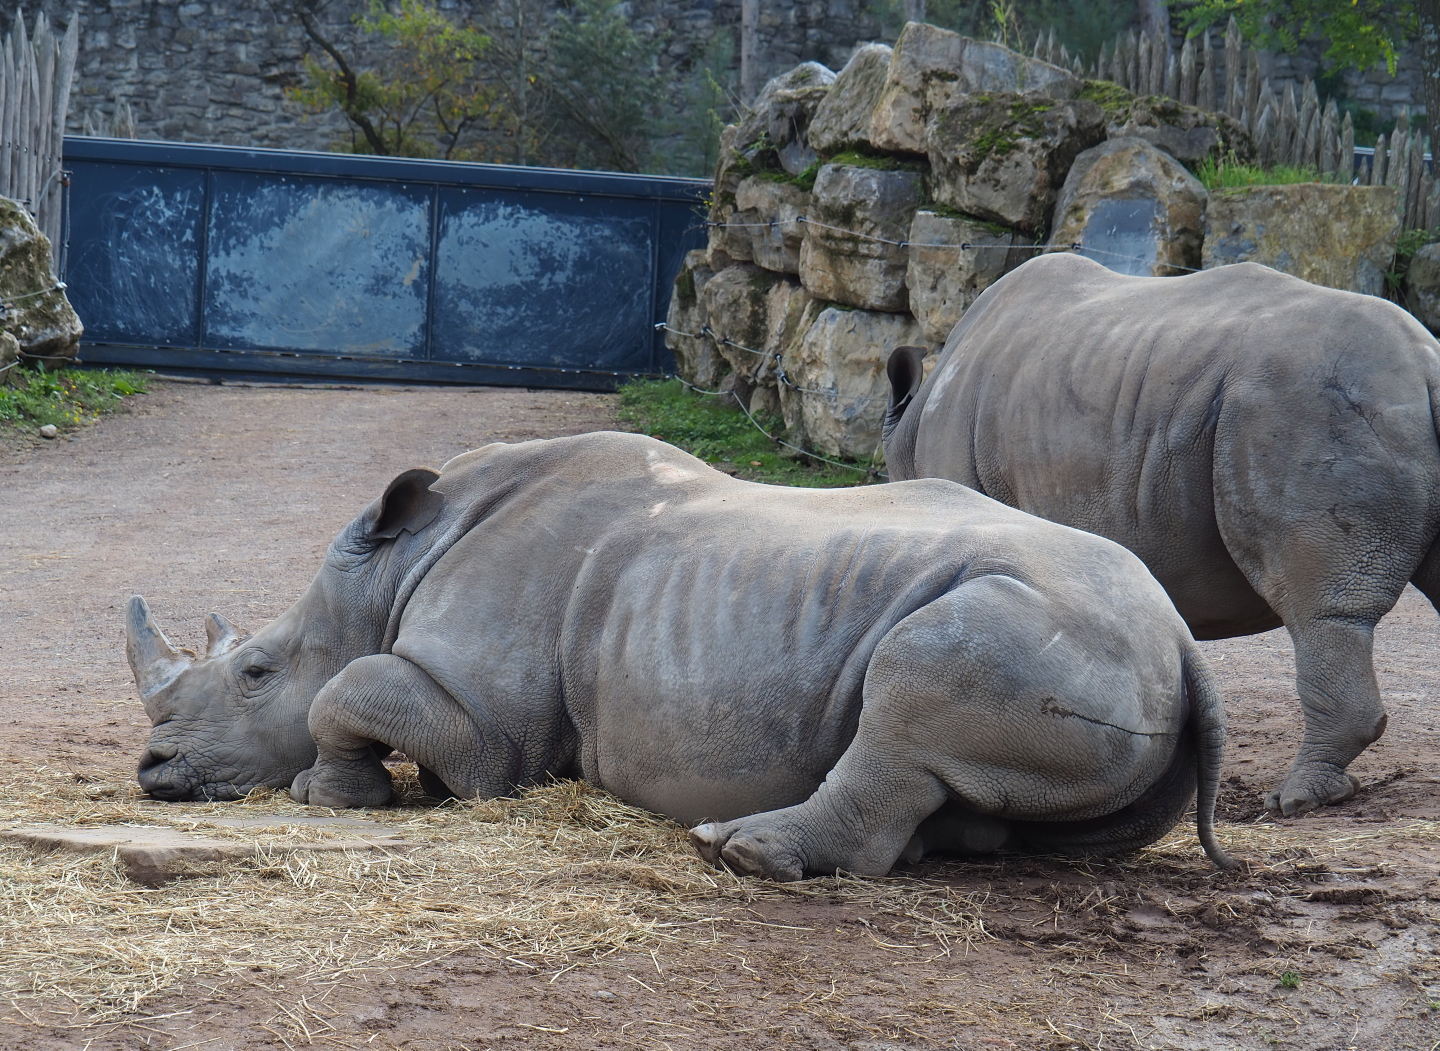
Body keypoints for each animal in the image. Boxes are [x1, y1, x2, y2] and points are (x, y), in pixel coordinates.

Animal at [127, 430, 1233, 878]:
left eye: (255, 673)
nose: (152, 768)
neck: (387, 571)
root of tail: (1181, 639)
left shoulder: (490, 727)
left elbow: (351, 691)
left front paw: (327, 794)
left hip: (1029, 624)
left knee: (912, 698)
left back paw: (735, 849)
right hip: (1097, 646)